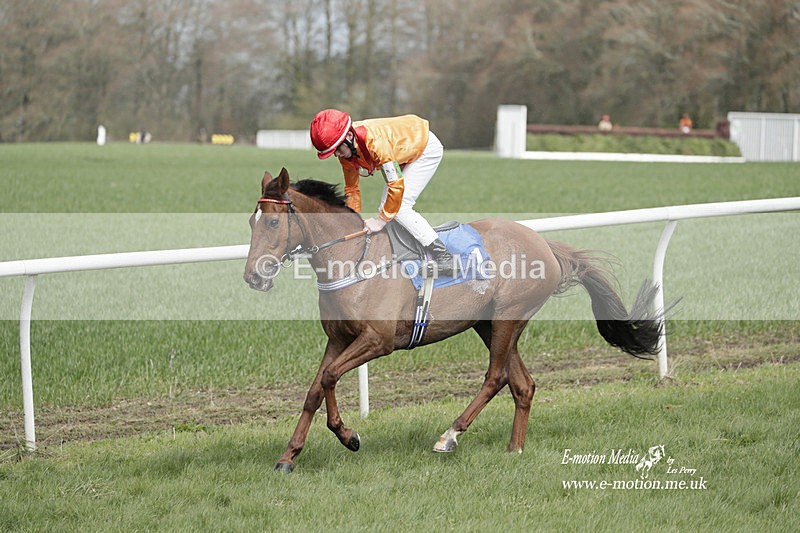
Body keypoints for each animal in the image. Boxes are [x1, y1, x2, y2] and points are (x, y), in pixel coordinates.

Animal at [244, 168, 665, 473]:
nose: (253, 276)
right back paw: (514, 449)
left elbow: (331, 377)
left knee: (496, 377)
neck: (351, 258)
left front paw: (349, 436)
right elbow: (315, 390)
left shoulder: (378, 341)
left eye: (272, 223)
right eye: (251, 222)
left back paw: (450, 435)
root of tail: (544, 244)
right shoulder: (337, 339)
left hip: (509, 317)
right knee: (523, 384)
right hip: (488, 323)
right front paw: (288, 457)